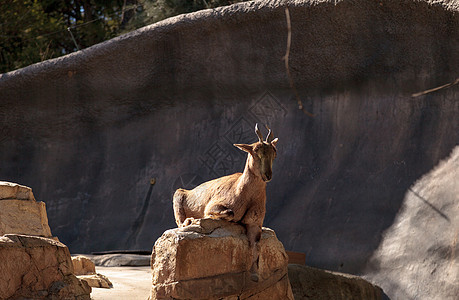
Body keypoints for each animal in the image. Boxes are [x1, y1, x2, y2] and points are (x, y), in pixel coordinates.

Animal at [173, 123, 278, 280]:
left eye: (274, 153)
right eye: (255, 151)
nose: (267, 175)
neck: (245, 193)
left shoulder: (254, 223)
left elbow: (256, 246)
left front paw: (254, 275)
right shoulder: (214, 205)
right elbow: (229, 213)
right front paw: (210, 217)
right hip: (178, 196)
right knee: (180, 223)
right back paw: (191, 220)